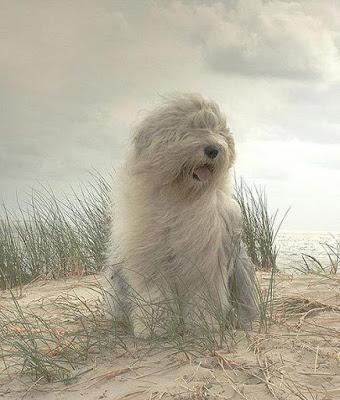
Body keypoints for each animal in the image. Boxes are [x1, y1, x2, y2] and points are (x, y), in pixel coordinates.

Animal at [109, 94, 258, 334]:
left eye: (218, 131)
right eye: (191, 128)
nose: (213, 149)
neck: (180, 197)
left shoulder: (204, 260)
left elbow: (202, 295)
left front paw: (203, 325)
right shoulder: (151, 258)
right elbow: (153, 293)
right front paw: (153, 327)